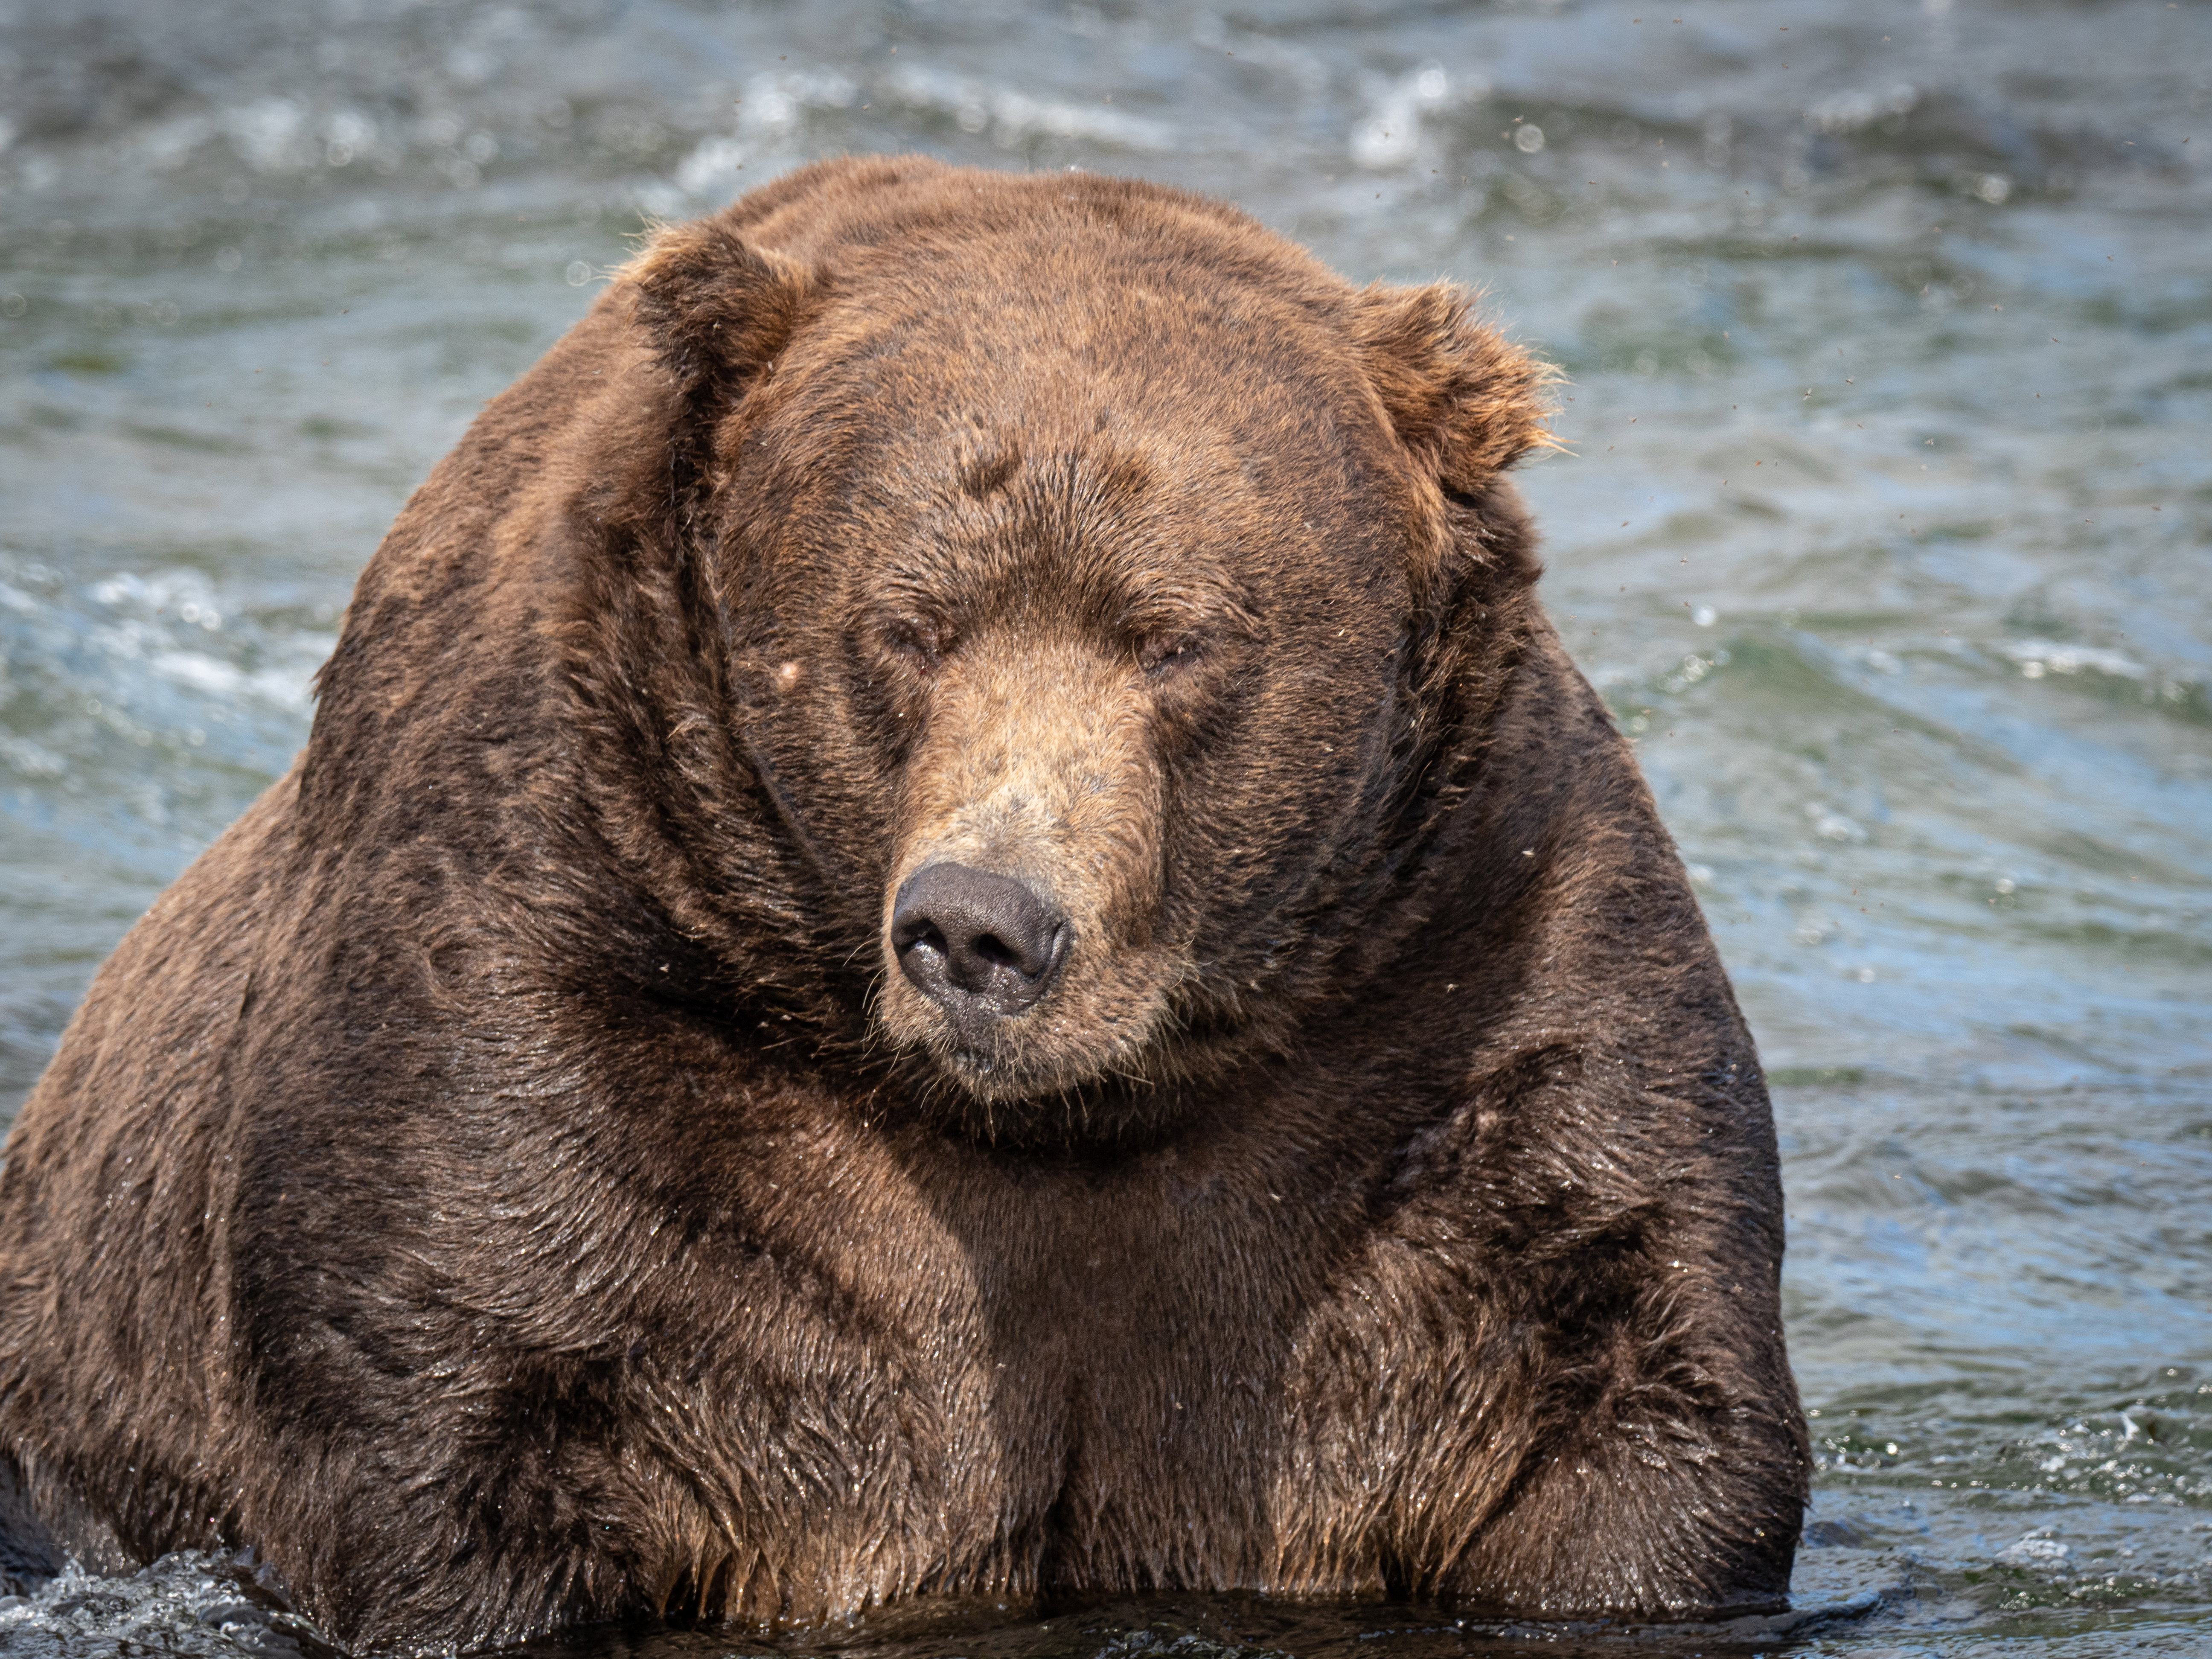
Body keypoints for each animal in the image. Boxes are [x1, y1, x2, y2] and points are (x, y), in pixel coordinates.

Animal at [0, 157, 1807, 1651]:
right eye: (907, 623)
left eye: (1175, 635)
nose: (981, 923)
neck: (1083, 1113)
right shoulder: (544, 983)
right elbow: (452, 1393)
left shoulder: (1462, 987)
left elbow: (1624, 1372)